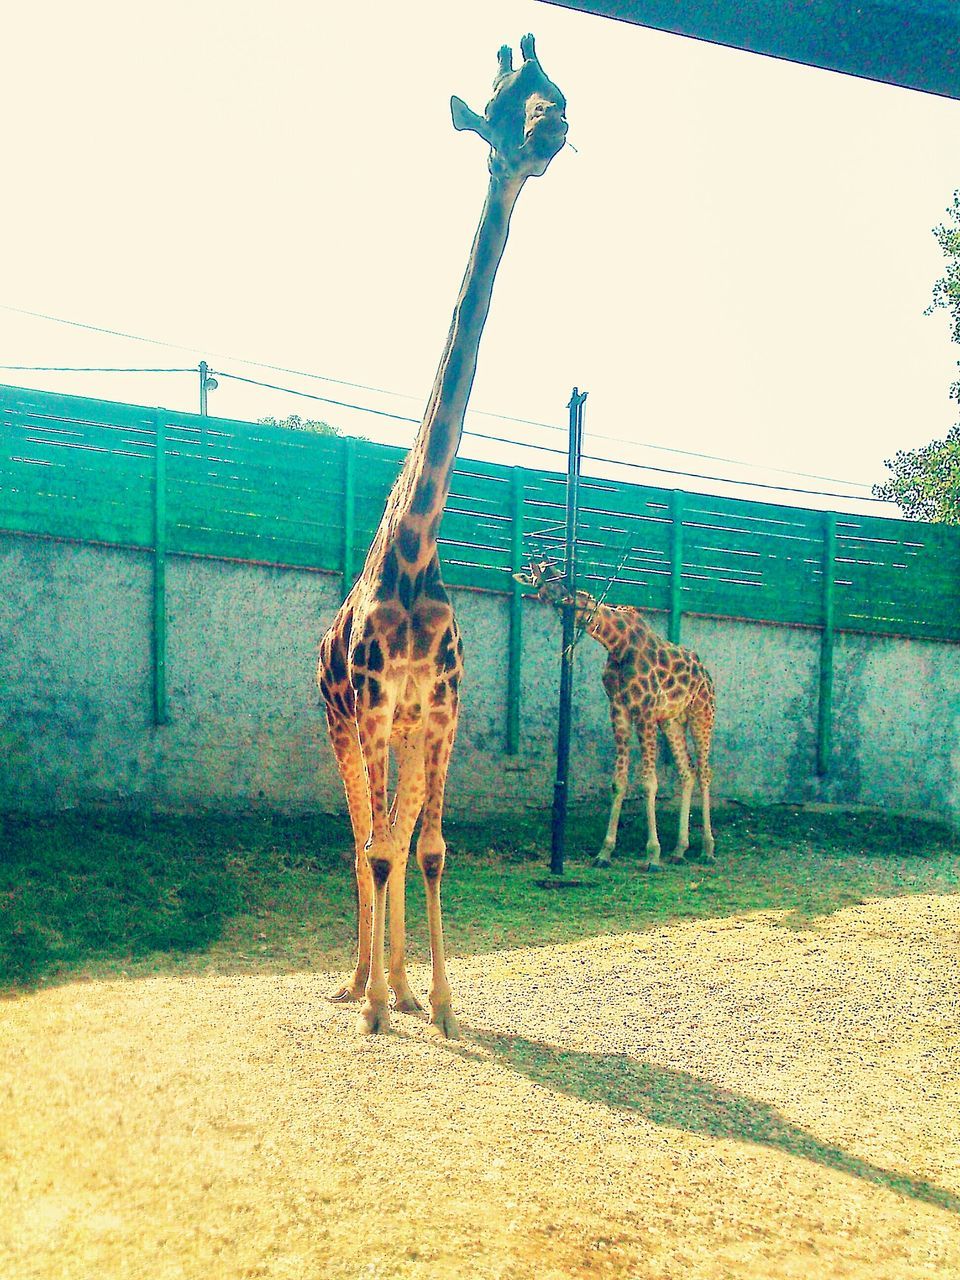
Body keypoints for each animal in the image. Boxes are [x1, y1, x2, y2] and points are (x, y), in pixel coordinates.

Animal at [316, 37, 570, 1039]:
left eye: (555, 88)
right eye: (502, 105)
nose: (553, 128)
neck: (417, 550)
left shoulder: (443, 712)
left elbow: (427, 851)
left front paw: (444, 1002)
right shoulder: (376, 710)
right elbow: (380, 848)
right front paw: (379, 1006)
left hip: (406, 732)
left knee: (387, 838)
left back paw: (396, 982)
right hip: (343, 725)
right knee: (357, 838)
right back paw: (358, 985)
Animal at [519, 560, 716, 870]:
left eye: (562, 581)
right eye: (540, 587)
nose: (564, 601)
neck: (617, 643)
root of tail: (707, 674)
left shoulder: (645, 712)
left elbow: (648, 782)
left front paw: (652, 854)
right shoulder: (619, 711)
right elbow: (618, 782)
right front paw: (605, 852)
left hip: (701, 714)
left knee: (705, 772)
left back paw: (707, 849)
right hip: (671, 721)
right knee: (688, 771)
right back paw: (679, 849)